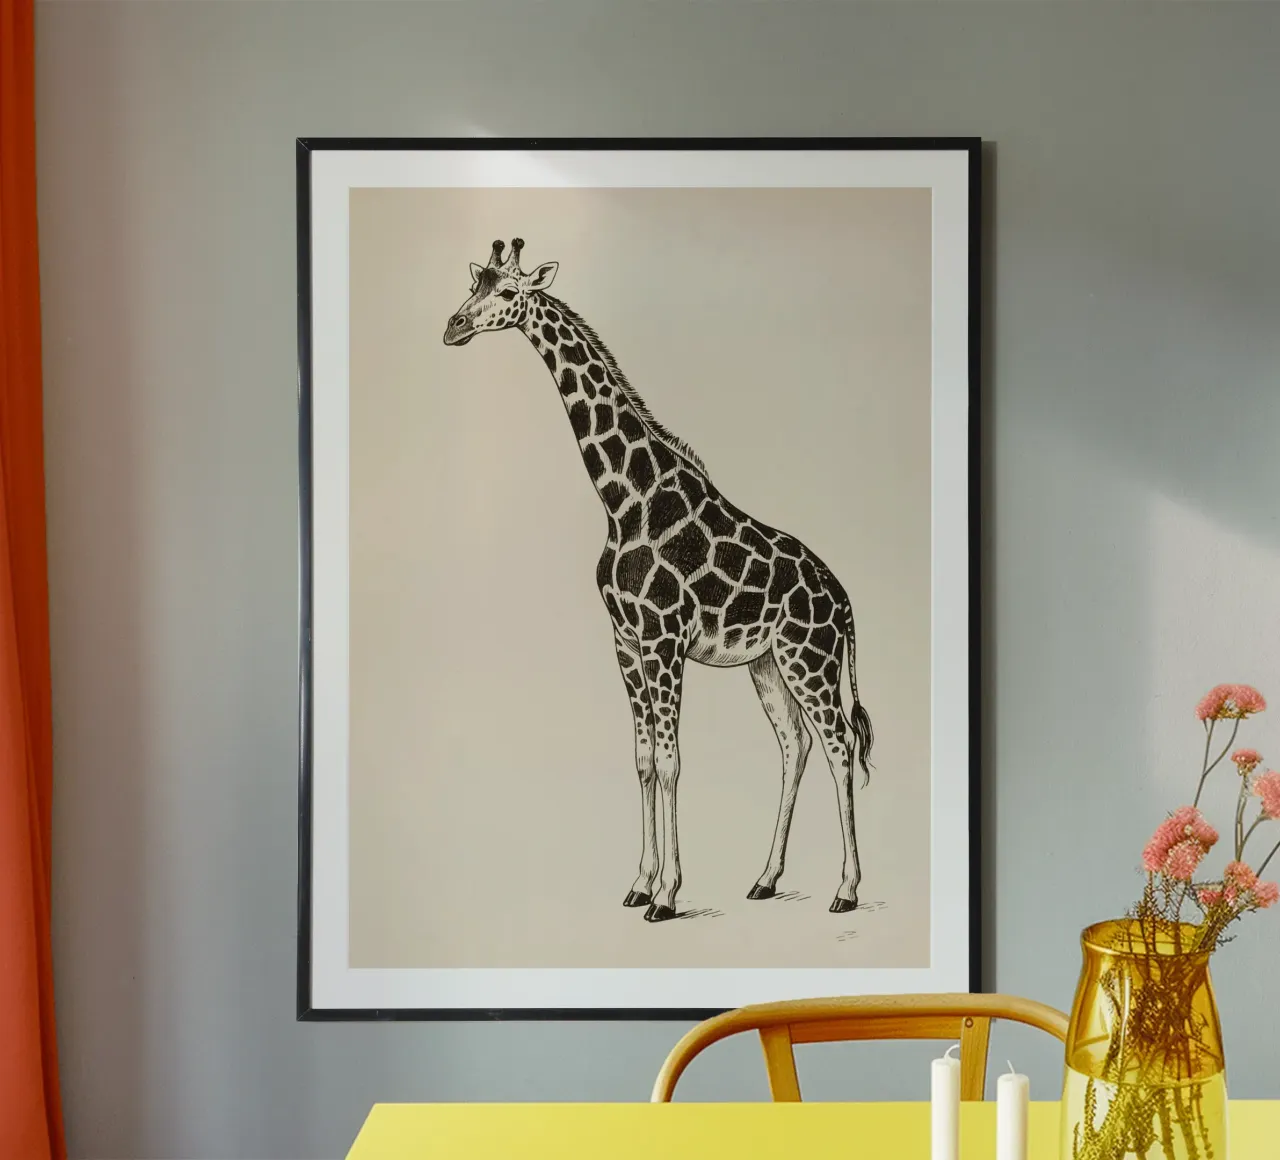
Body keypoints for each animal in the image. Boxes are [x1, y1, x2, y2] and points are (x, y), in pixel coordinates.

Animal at [443, 238, 874, 921]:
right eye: (474, 285)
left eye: (507, 292)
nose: (453, 327)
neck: (624, 499)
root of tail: (846, 600)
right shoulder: (626, 639)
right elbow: (644, 761)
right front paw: (640, 884)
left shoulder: (665, 638)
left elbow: (671, 763)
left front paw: (667, 896)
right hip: (769, 663)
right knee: (796, 746)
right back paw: (765, 878)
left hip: (811, 658)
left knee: (838, 748)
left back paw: (846, 890)